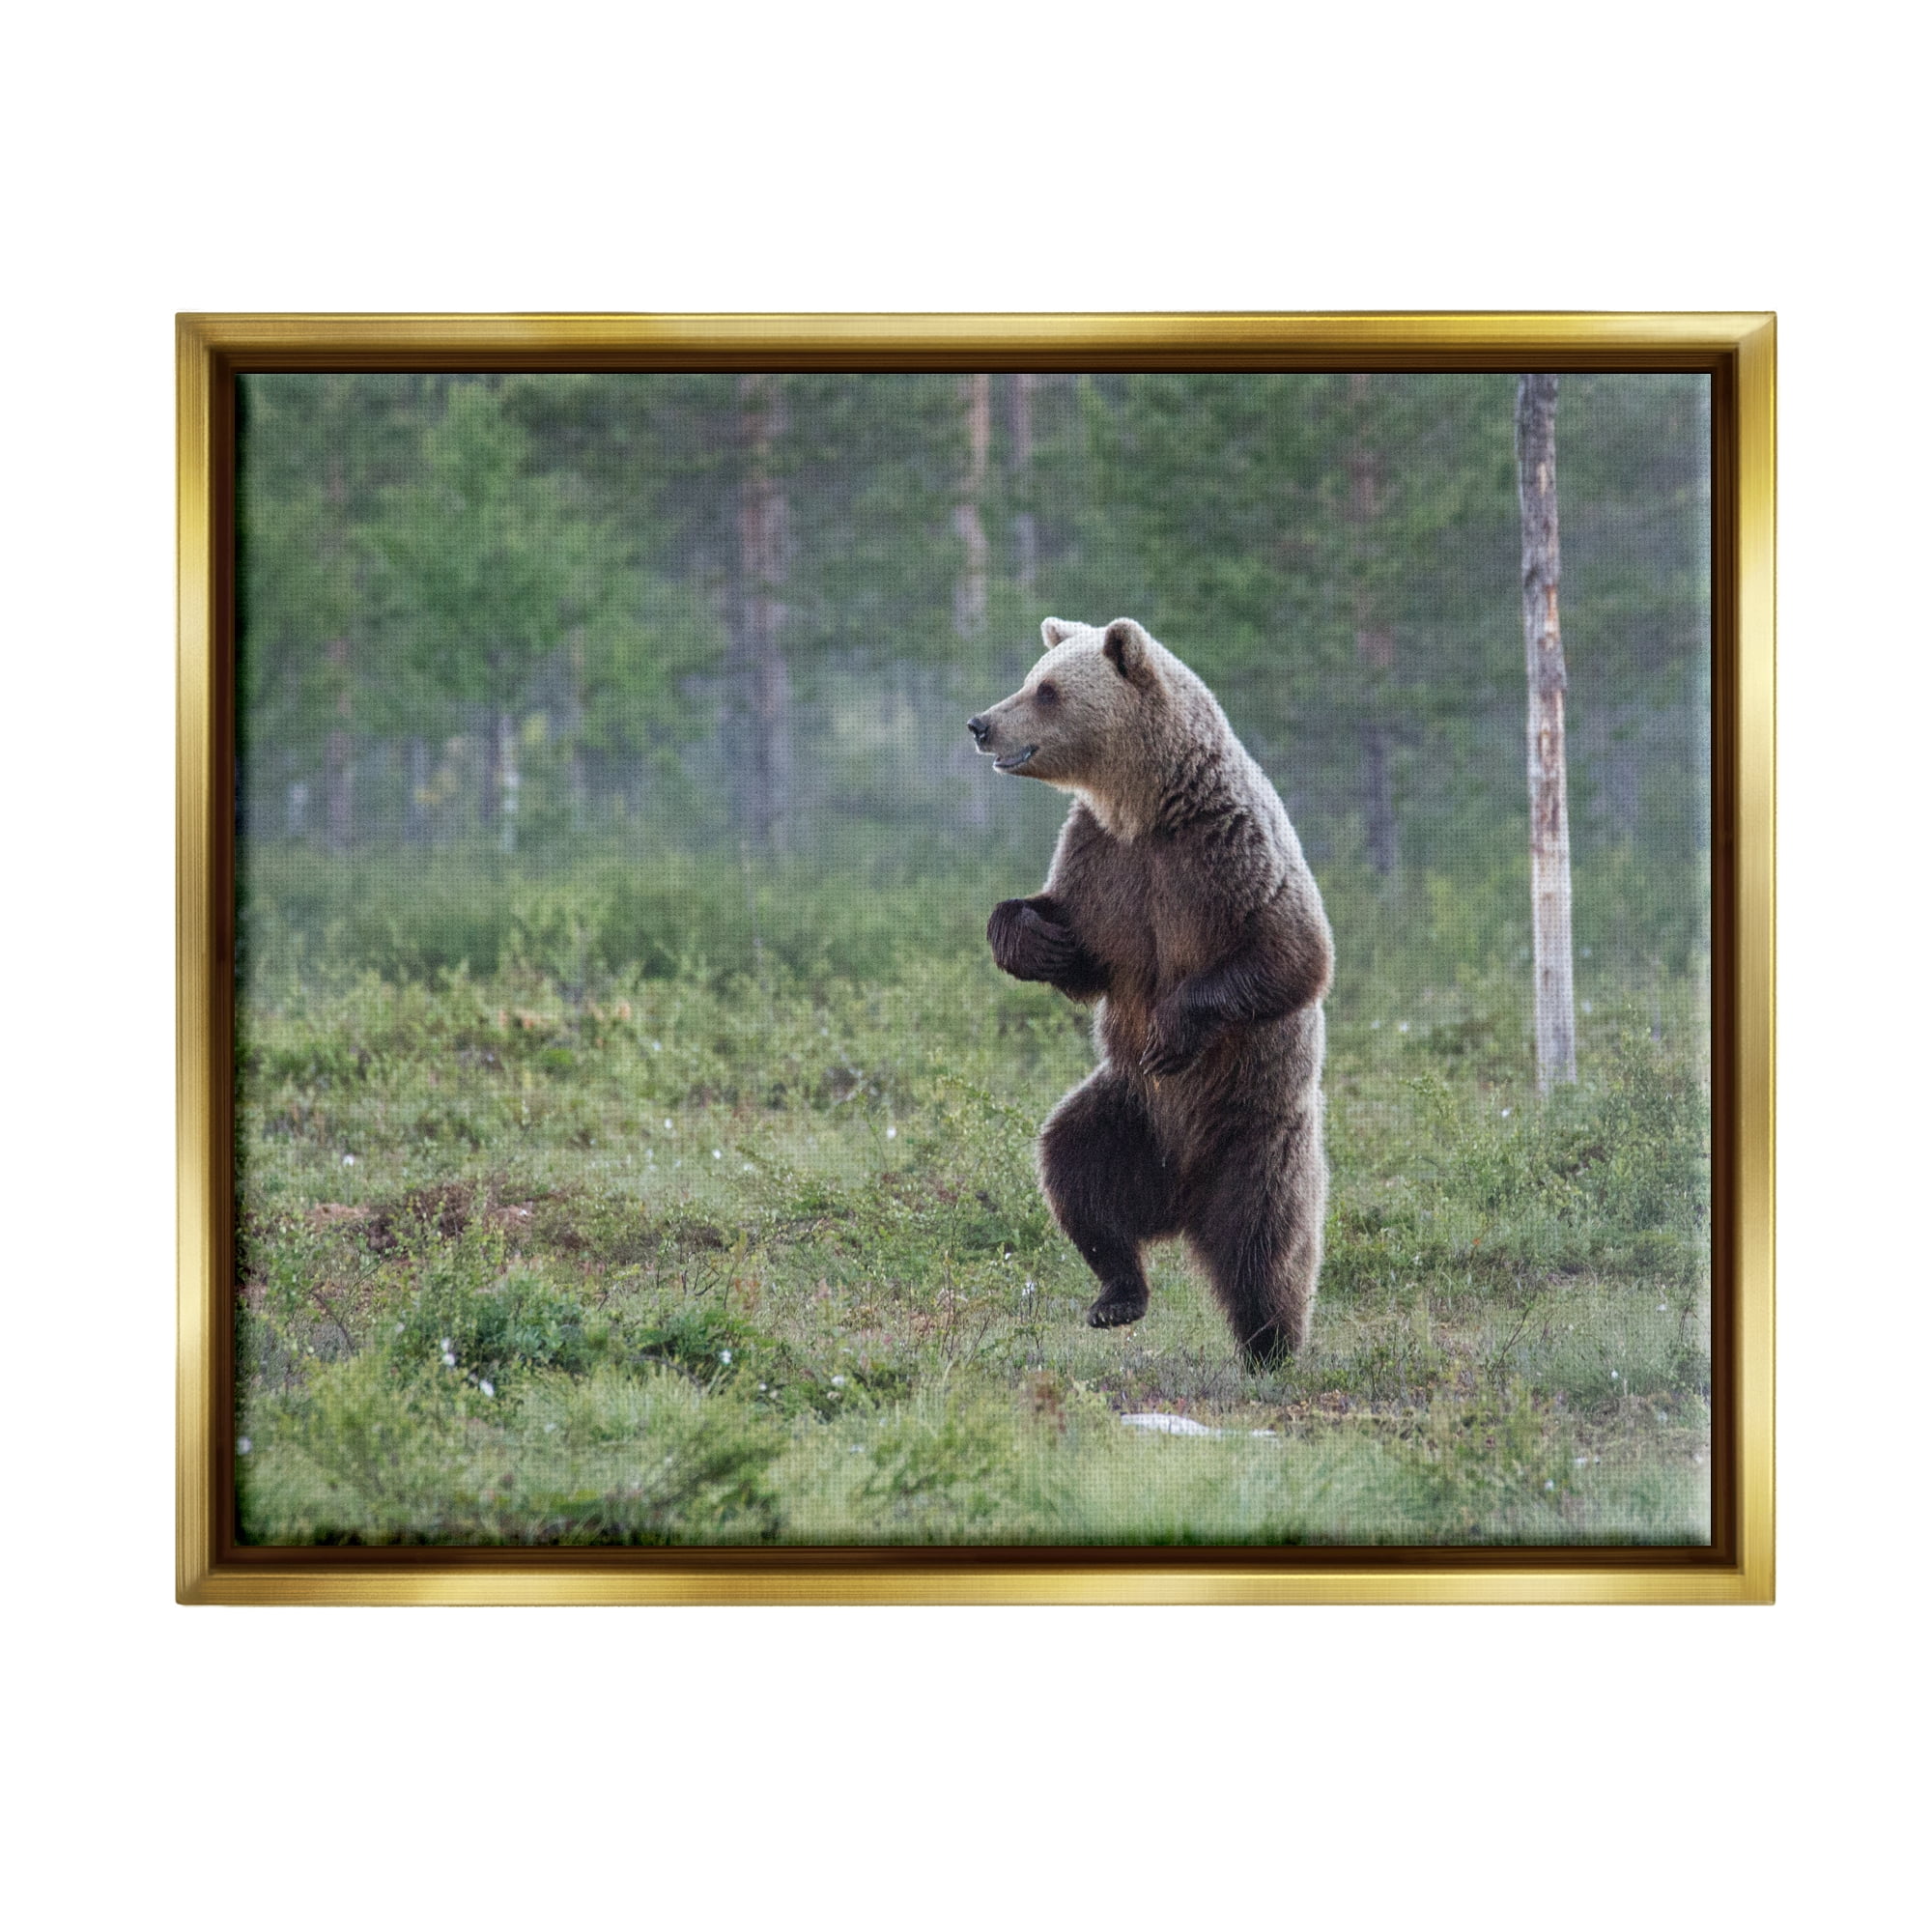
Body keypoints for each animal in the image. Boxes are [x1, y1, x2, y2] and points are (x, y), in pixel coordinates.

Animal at [967, 617, 1333, 1366]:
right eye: (1032, 677)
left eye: (1047, 690)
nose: (981, 723)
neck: (1146, 808)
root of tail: (1182, 1202)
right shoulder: (1101, 862)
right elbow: (1084, 950)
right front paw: (1031, 937)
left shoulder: (1225, 853)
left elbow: (1293, 953)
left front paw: (1172, 1030)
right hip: (1129, 1114)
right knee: (1073, 1168)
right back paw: (1116, 1294)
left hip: (1256, 1134)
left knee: (1267, 1245)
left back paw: (1271, 1347)